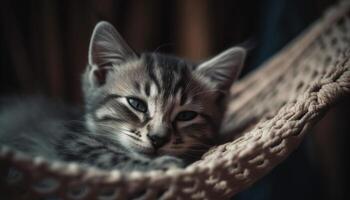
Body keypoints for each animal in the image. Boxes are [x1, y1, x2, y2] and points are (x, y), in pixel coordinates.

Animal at [0, 21, 246, 171]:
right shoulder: (73, 146)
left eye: (186, 116)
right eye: (137, 104)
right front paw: (161, 165)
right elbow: (111, 157)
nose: (158, 138)